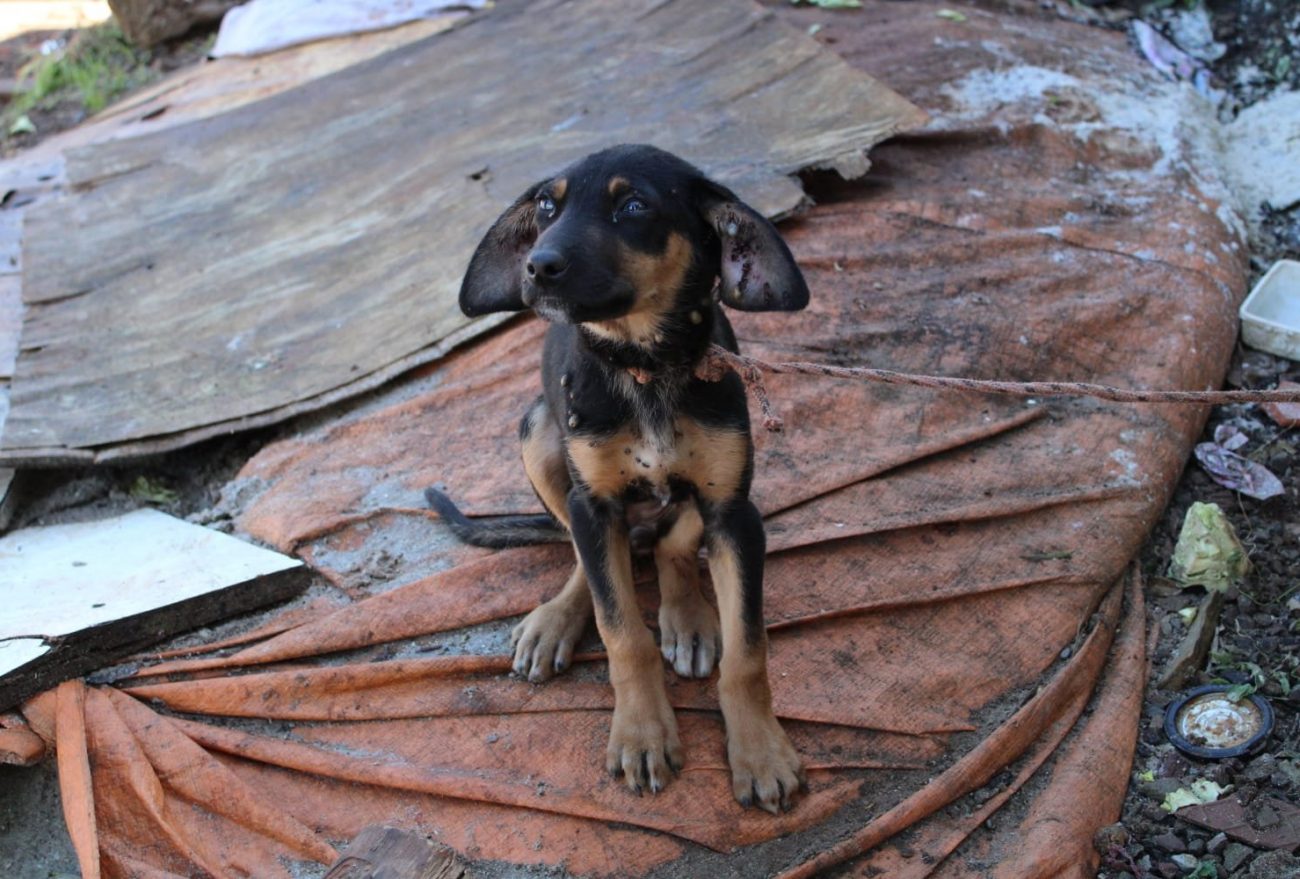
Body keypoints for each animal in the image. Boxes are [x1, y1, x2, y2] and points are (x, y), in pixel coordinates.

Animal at [426, 142, 811, 811]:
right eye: (546, 207)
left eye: (633, 206)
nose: (536, 266)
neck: (644, 364)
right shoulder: (595, 502)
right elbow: (621, 630)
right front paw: (642, 733)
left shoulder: (734, 512)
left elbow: (748, 650)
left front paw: (761, 750)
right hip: (539, 434)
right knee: (595, 557)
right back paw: (556, 621)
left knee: (669, 542)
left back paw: (688, 617)